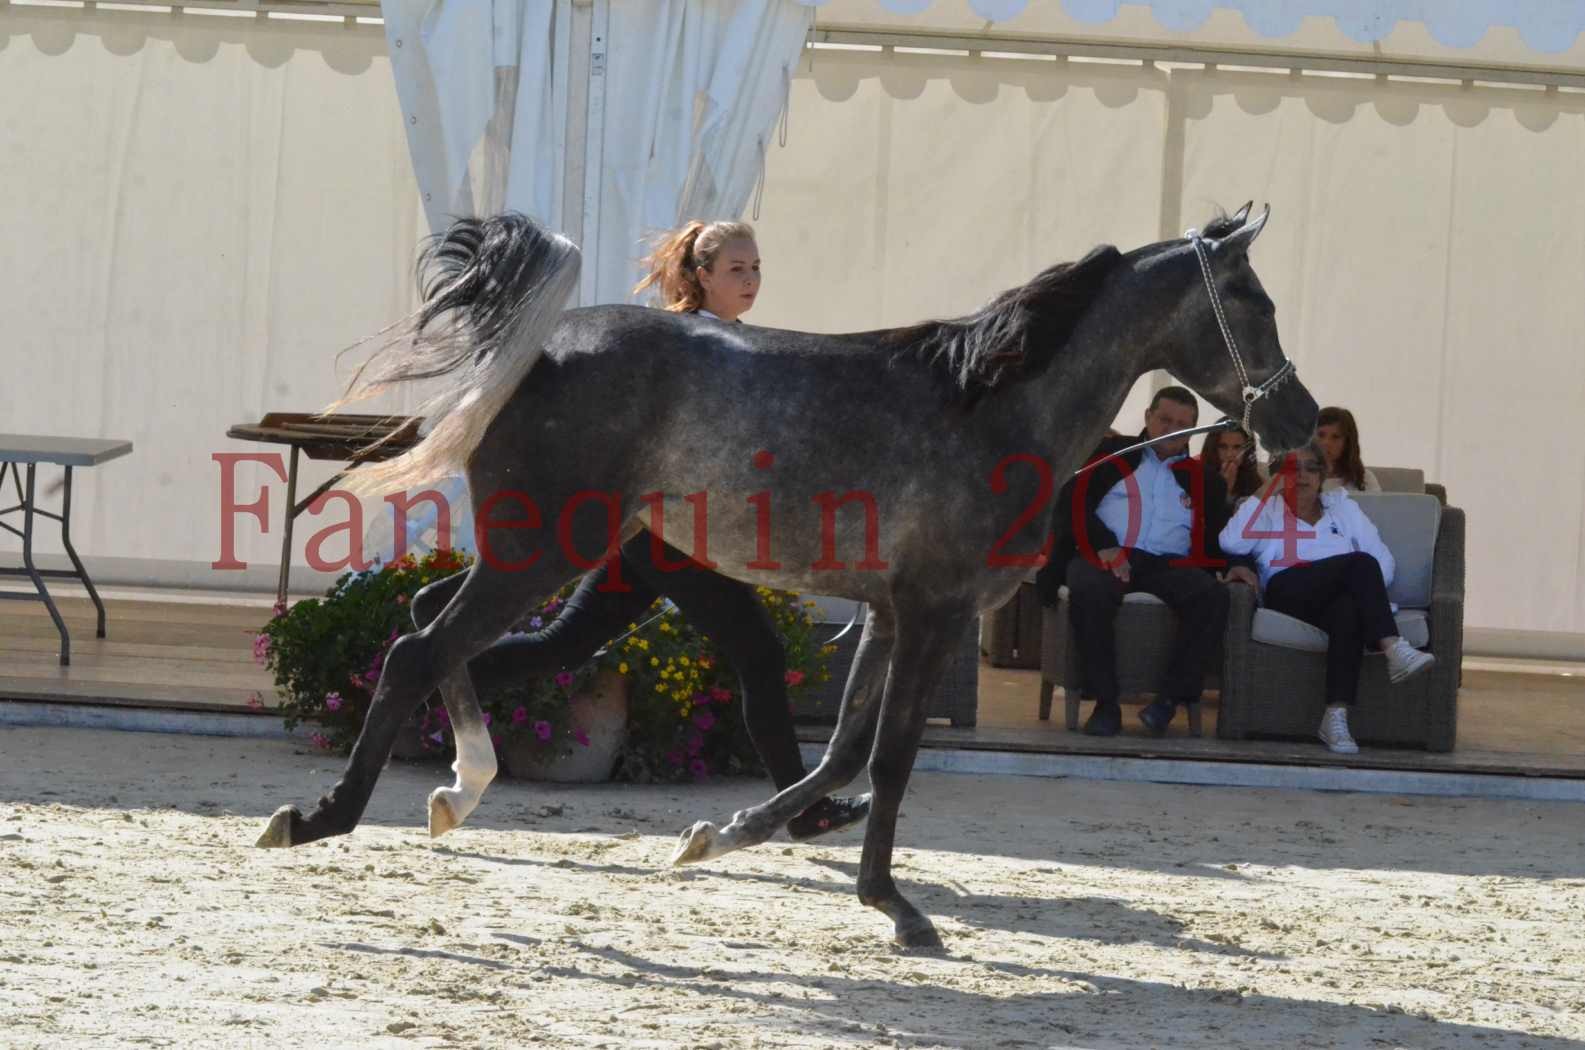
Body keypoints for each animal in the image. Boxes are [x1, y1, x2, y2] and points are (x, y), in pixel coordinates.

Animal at [259, 201, 1318, 951]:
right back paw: (318, 818)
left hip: (539, 557)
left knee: (436, 623)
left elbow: (840, 755)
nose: (1298, 420)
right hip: (541, 555)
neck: (990, 407)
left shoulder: (889, 616)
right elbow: (888, 760)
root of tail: (540, 345)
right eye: (1257, 302)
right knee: (417, 646)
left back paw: (459, 788)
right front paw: (897, 910)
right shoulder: (932, 614)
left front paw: (718, 836)